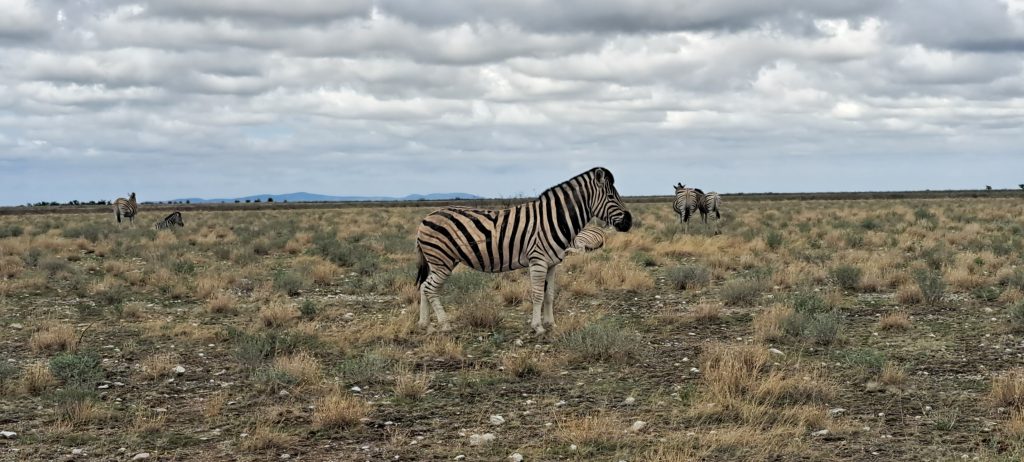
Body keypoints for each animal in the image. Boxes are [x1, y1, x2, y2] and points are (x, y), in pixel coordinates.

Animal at [415, 167, 632, 334]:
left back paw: (425, 325)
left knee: (424, 286)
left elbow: (550, 294)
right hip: (441, 260)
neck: (555, 219)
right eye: (611, 196)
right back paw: (444, 325)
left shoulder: (553, 263)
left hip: (441, 261)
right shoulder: (538, 261)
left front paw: (551, 323)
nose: (629, 222)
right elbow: (537, 295)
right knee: (430, 288)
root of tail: (426, 217)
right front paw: (538, 327)